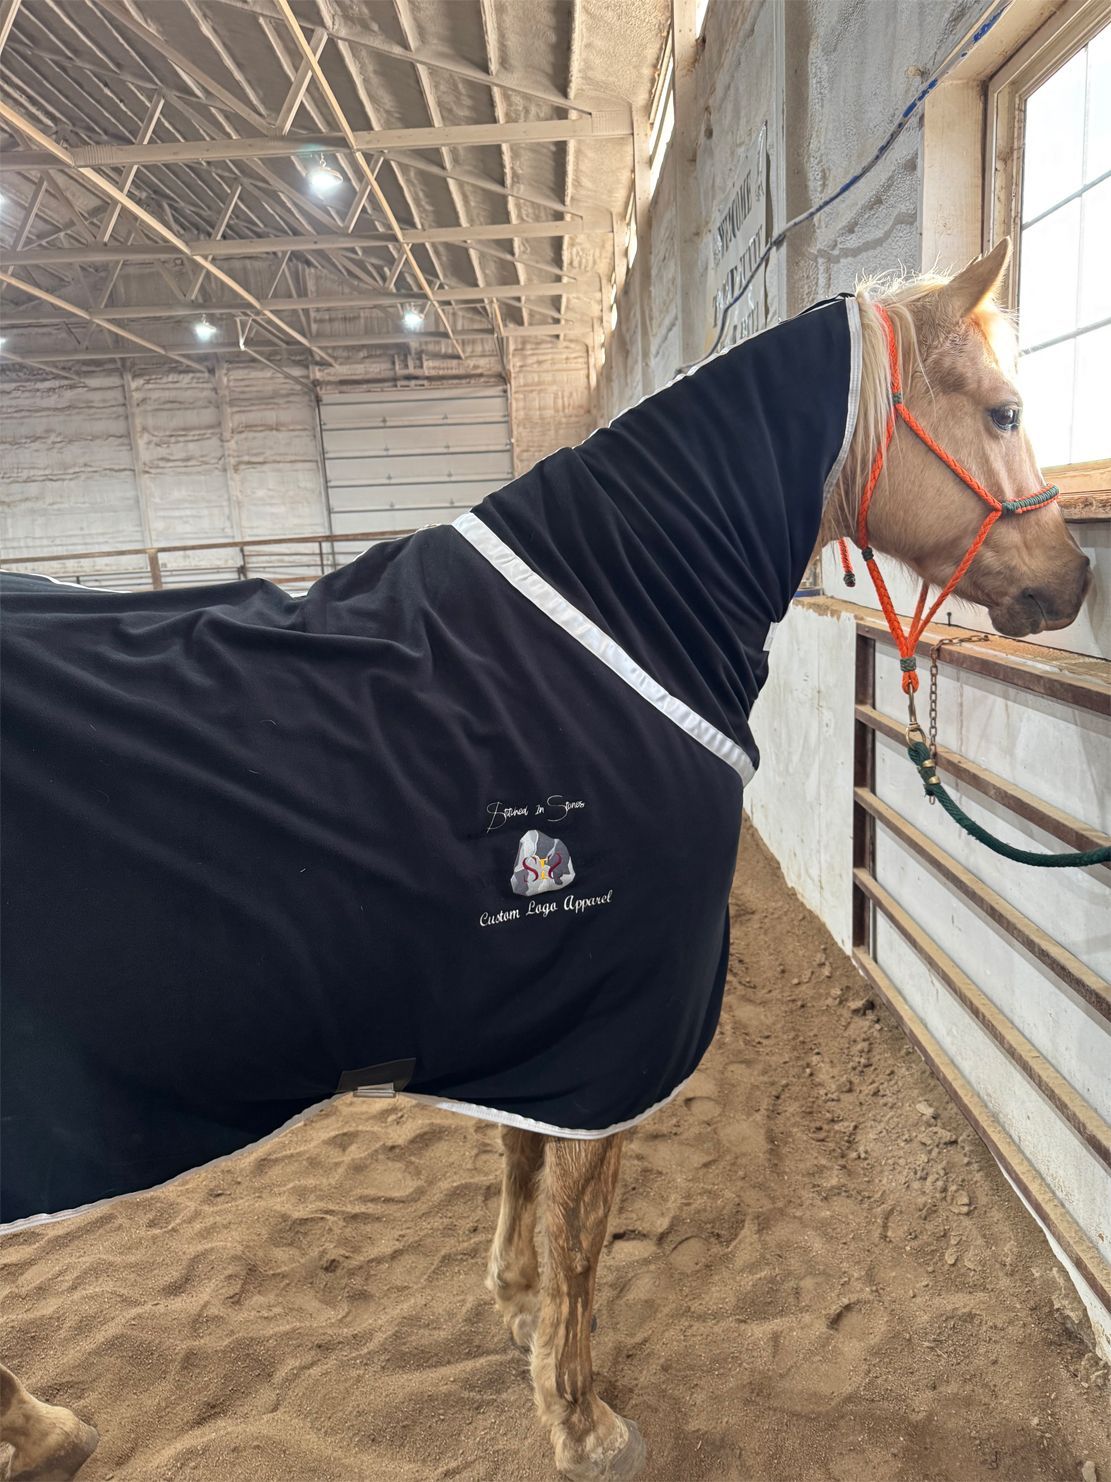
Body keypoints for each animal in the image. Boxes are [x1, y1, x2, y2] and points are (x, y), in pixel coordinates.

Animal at [0, 238, 1092, 1481]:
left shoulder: (543, 1012)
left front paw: (513, 1309)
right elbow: (582, 1227)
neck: (605, 633)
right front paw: (579, 1421)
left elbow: (522, 1163)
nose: (1071, 579)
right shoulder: (611, 1020)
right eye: (1004, 410)